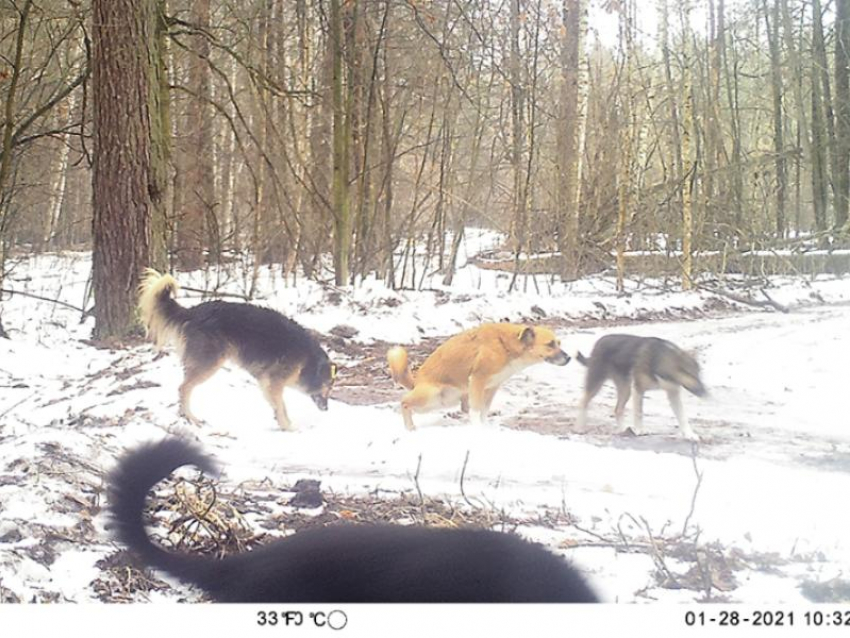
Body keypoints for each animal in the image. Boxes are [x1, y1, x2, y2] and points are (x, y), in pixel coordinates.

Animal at [137, 270, 332, 430]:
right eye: (328, 386)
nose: (327, 409)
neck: (309, 361)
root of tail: (193, 312)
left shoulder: (267, 383)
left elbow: (277, 406)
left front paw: (282, 422)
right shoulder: (274, 382)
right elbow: (281, 406)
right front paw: (288, 427)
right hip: (209, 363)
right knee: (183, 388)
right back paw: (191, 418)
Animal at [388, 324, 568, 430]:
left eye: (559, 343)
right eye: (550, 344)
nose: (569, 358)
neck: (505, 346)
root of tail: (416, 381)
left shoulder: (492, 387)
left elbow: (483, 411)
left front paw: (485, 427)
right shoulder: (477, 380)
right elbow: (476, 411)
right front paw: (478, 430)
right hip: (432, 396)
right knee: (404, 402)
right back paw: (410, 428)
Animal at [572, 332, 704, 442]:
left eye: (698, 374)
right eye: (689, 374)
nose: (704, 392)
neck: (660, 359)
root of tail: (599, 342)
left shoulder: (673, 392)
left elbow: (682, 416)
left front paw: (690, 435)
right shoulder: (639, 388)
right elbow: (639, 412)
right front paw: (640, 430)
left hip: (625, 389)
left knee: (618, 410)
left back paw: (623, 430)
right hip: (597, 383)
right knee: (583, 402)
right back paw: (579, 428)